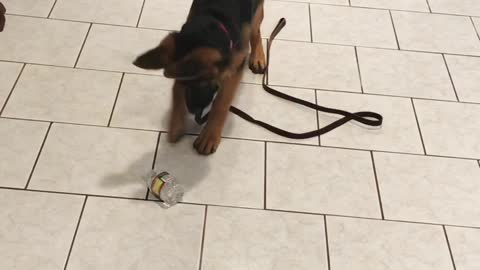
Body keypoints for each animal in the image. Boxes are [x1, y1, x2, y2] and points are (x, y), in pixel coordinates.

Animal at [134, 0, 266, 155]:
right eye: (186, 84)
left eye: (204, 83)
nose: (193, 111)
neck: (216, 19)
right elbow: (176, 92)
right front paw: (176, 123)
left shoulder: (235, 68)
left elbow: (221, 102)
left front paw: (209, 136)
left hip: (256, 11)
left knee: (256, 29)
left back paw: (258, 56)